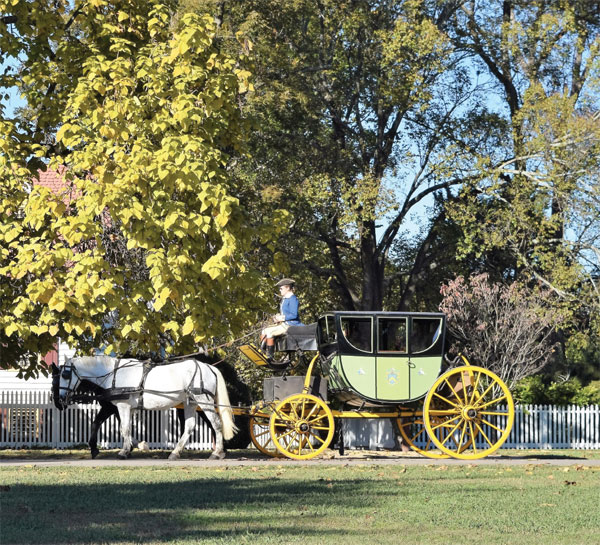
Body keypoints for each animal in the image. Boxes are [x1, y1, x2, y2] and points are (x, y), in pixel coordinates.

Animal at [56, 352, 238, 460]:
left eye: (65, 375)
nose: (60, 399)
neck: (114, 373)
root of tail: (210, 368)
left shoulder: (122, 406)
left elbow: (124, 429)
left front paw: (124, 452)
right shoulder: (126, 408)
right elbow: (127, 428)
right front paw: (132, 447)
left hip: (203, 399)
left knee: (216, 423)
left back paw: (217, 452)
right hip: (191, 402)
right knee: (189, 426)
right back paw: (175, 453)